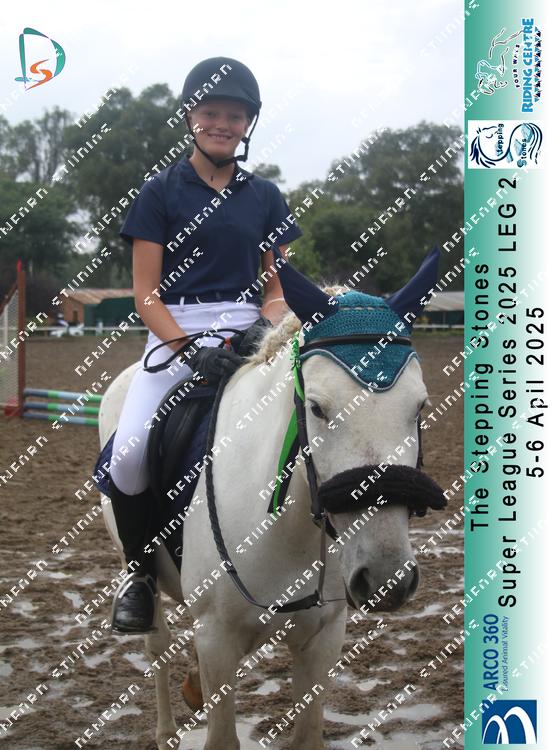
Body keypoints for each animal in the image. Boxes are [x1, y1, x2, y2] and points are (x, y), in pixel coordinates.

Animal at [98, 247, 446, 749]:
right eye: (316, 407)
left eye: (419, 405)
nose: (385, 578)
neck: (289, 531)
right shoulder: (217, 639)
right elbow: (222, 736)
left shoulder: (322, 638)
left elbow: (308, 734)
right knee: (157, 643)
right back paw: (165, 728)